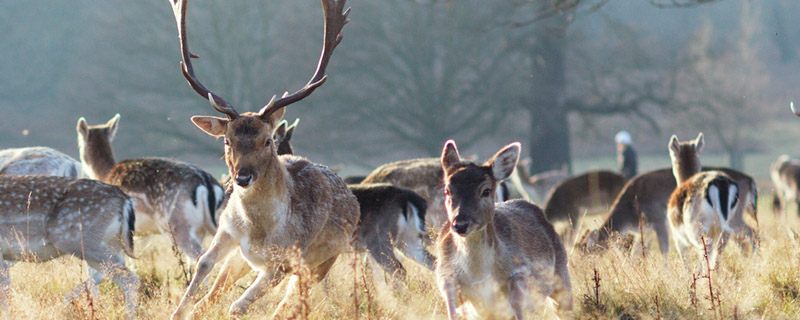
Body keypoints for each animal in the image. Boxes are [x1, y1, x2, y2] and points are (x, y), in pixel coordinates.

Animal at [0, 176, 138, 318]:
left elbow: (5, 295)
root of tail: (126, 200)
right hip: (109, 242)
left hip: (78, 240)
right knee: (119, 273)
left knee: (127, 275)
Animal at [77, 114, 225, 262]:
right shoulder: (141, 234)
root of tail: (206, 182)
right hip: (214, 222)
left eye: (79, 143)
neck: (105, 174)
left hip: (176, 225)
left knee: (200, 255)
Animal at [167, 0, 358, 318]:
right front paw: (179, 310)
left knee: (292, 303)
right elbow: (203, 264)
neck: (258, 231)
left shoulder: (286, 261)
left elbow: (238, 306)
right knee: (216, 292)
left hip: (321, 262)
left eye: (268, 141)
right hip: (241, 260)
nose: (242, 178)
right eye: (227, 140)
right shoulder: (227, 230)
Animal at [434, 141, 572, 320]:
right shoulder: (444, 274)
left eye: (486, 190)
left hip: (562, 272)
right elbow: (450, 308)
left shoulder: (520, 269)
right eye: (447, 190)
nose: (460, 224)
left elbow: (516, 302)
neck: (478, 275)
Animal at [664, 134, 740, 266]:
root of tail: (721, 183)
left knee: (706, 246)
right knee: (720, 248)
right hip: (727, 224)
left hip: (696, 226)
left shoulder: (678, 239)